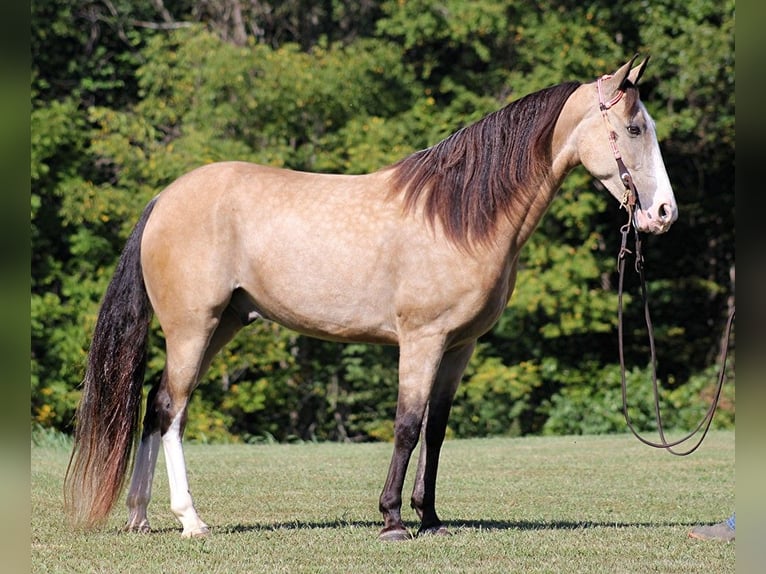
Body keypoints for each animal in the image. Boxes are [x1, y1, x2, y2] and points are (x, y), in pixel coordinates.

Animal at [66, 56, 680, 544]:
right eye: (632, 127)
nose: (664, 214)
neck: (459, 218)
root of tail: (164, 199)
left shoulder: (458, 347)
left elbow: (436, 429)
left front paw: (430, 518)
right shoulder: (421, 340)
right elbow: (407, 424)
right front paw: (392, 520)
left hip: (222, 326)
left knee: (154, 406)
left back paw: (140, 517)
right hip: (193, 327)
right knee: (172, 409)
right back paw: (189, 519)